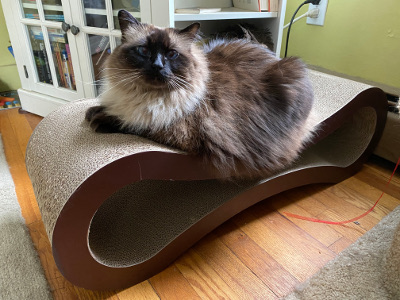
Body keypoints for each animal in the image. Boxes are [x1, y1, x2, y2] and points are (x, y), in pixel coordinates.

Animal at [86, 9, 316, 179]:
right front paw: (94, 111)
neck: (146, 96)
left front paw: (99, 119)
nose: (158, 66)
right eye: (143, 51)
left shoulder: (177, 131)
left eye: (171, 54)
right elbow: (110, 108)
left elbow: (133, 124)